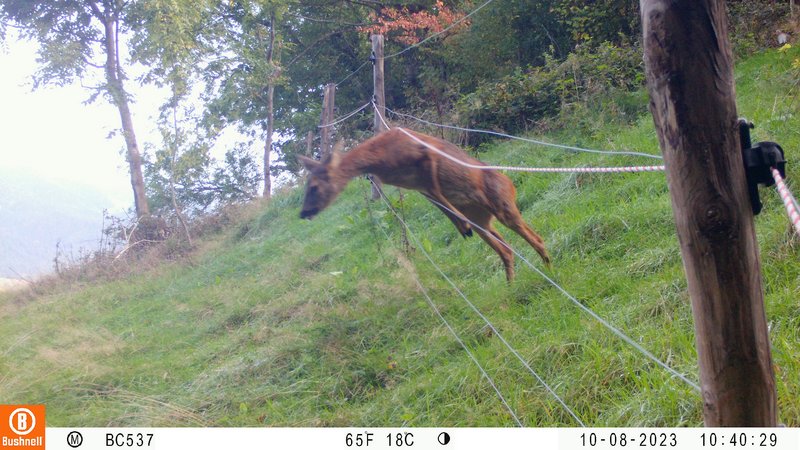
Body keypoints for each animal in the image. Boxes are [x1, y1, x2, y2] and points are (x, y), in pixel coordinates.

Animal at [298, 127, 551, 281]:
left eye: (314, 187)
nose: (302, 213)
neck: (380, 159)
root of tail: (511, 184)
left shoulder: (426, 156)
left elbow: (438, 192)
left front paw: (462, 225)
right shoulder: (419, 187)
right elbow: (439, 203)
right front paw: (461, 227)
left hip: (502, 204)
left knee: (535, 238)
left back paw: (549, 269)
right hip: (483, 218)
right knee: (506, 250)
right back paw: (512, 284)